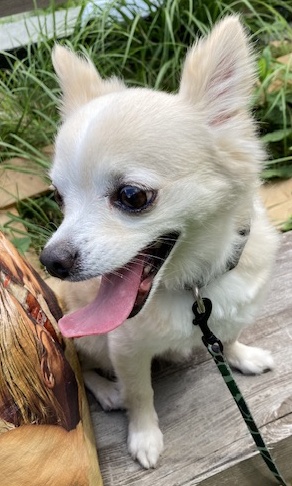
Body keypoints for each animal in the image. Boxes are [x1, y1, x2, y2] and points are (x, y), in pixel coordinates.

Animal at [40, 17, 278, 468]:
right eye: (59, 197)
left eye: (132, 196)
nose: (51, 261)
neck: (192, 286)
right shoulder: (125, 348)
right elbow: (140, 393)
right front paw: (145, 436)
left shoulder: (232, 312)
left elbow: (230, 335)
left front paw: (242, 356)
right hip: (83, 336)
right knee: (83, 368)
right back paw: (107, 391)